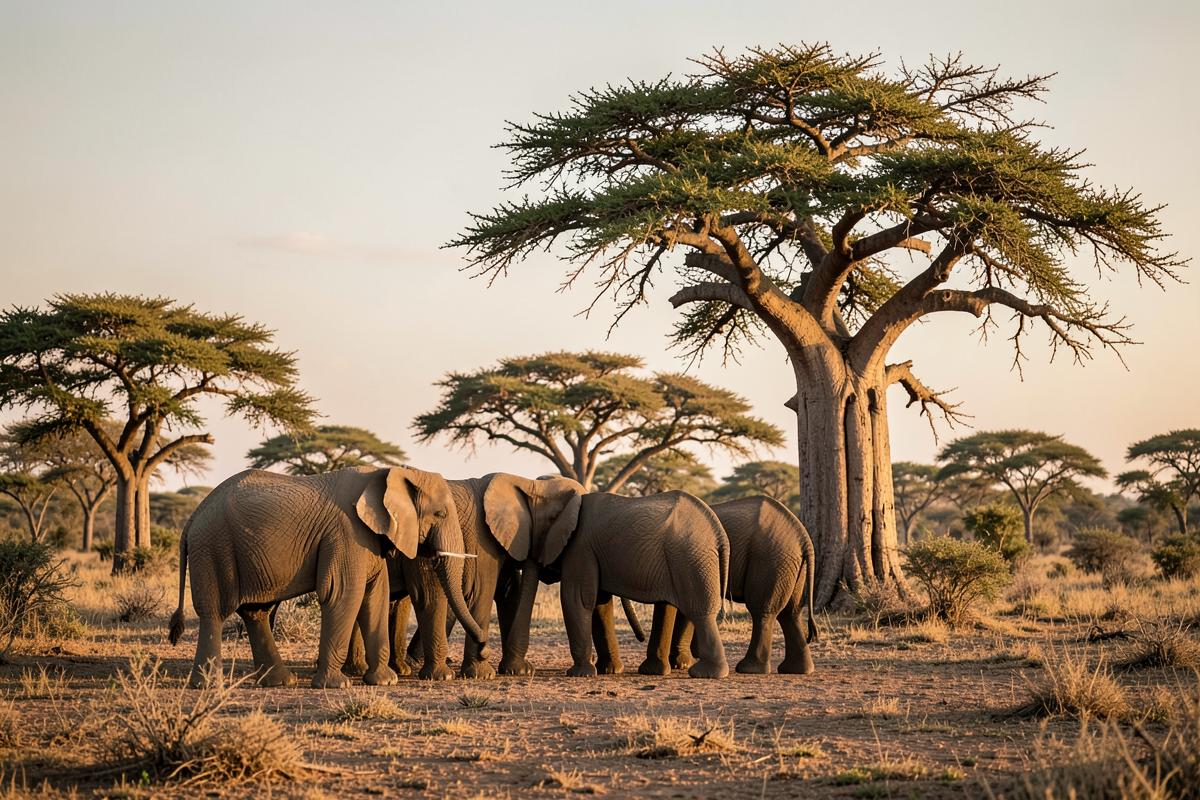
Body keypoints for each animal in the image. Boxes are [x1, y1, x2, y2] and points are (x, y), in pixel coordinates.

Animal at [166, 465, 485, 688]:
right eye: (440, 513)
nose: (482, 649)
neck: (391, 473)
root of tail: (192, 519)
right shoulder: (346, 533)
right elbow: (343, 593)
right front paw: (337, 685)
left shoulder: (369, 537)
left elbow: (375, 595)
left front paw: (385, 681)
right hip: (213, 547)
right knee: (214, 612)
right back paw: (209, 686)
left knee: (256, 612)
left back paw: (280, 682)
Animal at [536, 489, 731, 679]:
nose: (641, 638)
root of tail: (719, 534)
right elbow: (600, 603)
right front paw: (609, 671)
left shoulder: (580, 546)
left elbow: (577, 599)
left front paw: (579, 674)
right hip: (681, 558)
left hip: (689, 557)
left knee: (700, 612)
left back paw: (703, 673)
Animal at [636, 495, 818, 676]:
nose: (641, 638)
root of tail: (803, 537)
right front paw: (682, 663)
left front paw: (682, 663)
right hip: (789, 562)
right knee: (790, 613)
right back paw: (794, 670)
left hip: (770, 558)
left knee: (763, 611)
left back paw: (748, 669)